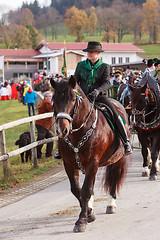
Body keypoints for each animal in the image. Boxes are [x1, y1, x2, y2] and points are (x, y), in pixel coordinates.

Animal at [50, 75, 129, 232]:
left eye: (73, 99)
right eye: (54, 99)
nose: (62, 130)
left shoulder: (93, 162)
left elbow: (86, 190)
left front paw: (82, 220)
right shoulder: (69, 164)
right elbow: (77, 189)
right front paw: (89, 213)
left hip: (118, 159)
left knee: (114, 176)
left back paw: (111, 204)